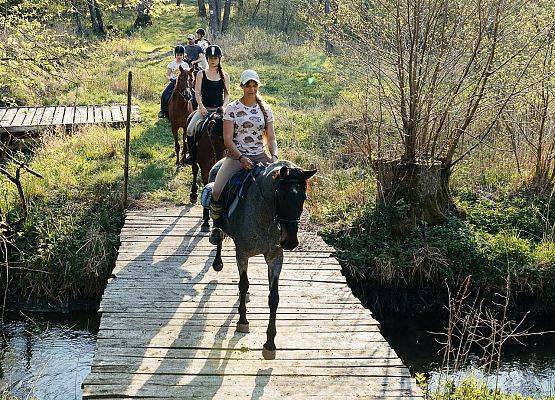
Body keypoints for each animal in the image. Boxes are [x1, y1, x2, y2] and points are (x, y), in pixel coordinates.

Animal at [208, 159, 318, 360]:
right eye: (280, 196)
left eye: (304, 198)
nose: (290, 241)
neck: (264, 214)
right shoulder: (242, 253)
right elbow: (243, 284)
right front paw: (243, 321)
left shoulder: (275, 257)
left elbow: (273, 297)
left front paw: (270, 343)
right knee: (219, 234)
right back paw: (217, 260)